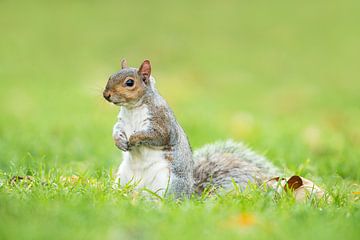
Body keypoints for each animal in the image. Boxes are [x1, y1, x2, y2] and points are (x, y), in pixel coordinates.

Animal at [102, 59, 280, 199]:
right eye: (110, 76)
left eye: (129, 83)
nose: (106, 95)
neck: (132, 108)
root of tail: (189, 195)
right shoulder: (122, 122)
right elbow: (116, 129)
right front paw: (119, 141)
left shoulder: (163, 122)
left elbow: (156, 136)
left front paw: (134, 138)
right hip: (122, 178)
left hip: (166, 183)